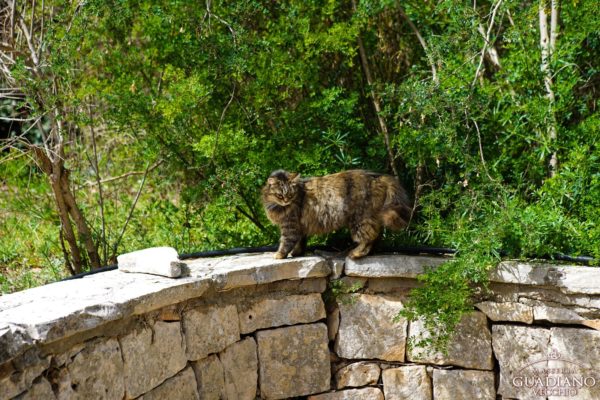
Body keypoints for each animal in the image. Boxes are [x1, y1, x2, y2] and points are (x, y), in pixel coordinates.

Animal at [262, 169, 412, 260]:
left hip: (360, 219)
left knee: (368, 237)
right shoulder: (300, 226)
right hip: (371, 217)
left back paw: (355, 253)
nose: (286, 201)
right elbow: (300, 242)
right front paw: (297, 253)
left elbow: (286, 242)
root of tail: (378, 177)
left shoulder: (290, 225)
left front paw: (279, 255)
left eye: (290, 194)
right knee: (377, 236)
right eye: (280, 195)